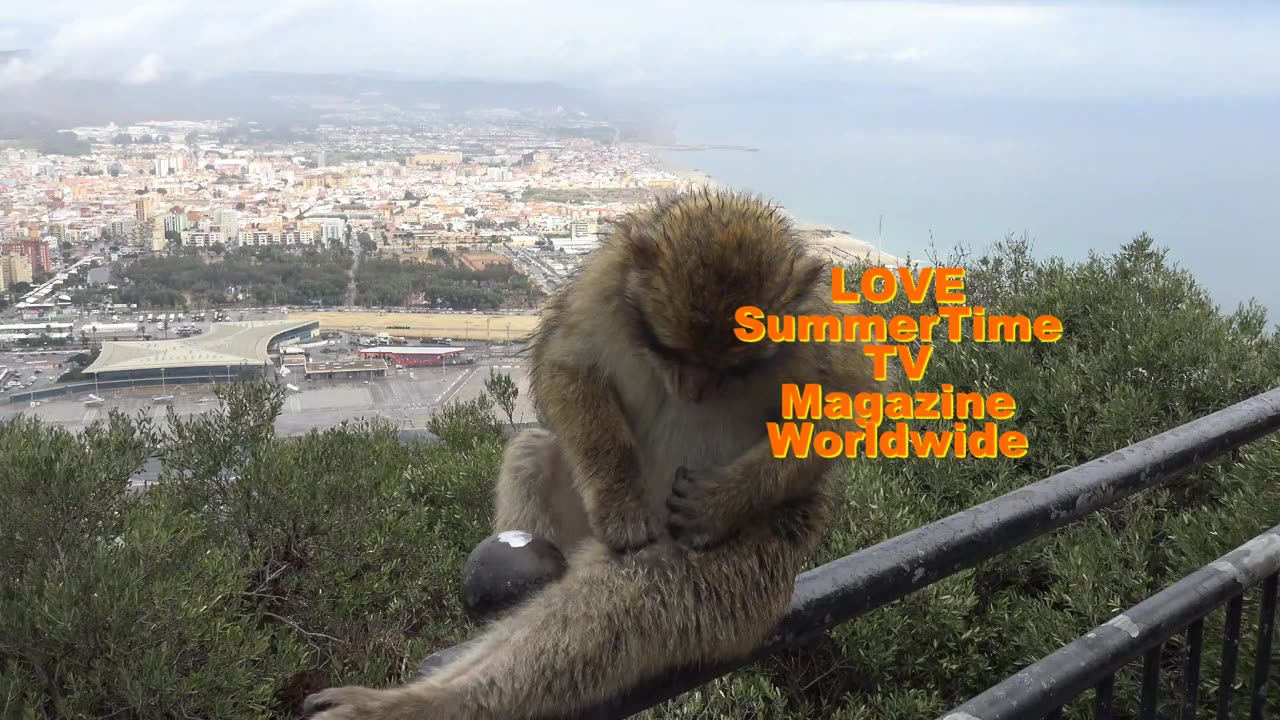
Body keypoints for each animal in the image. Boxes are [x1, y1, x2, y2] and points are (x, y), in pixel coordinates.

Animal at [305, 188, 880, 720]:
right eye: (669, 349)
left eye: (733, 365)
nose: (692, 389)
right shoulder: (604, 285)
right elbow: (565, 362)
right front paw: (620, 502)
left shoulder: (815, 331)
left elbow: (849, 408)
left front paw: (722, 502)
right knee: (535, 453)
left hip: (753, 572)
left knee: (645, 581)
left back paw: (434, 703)